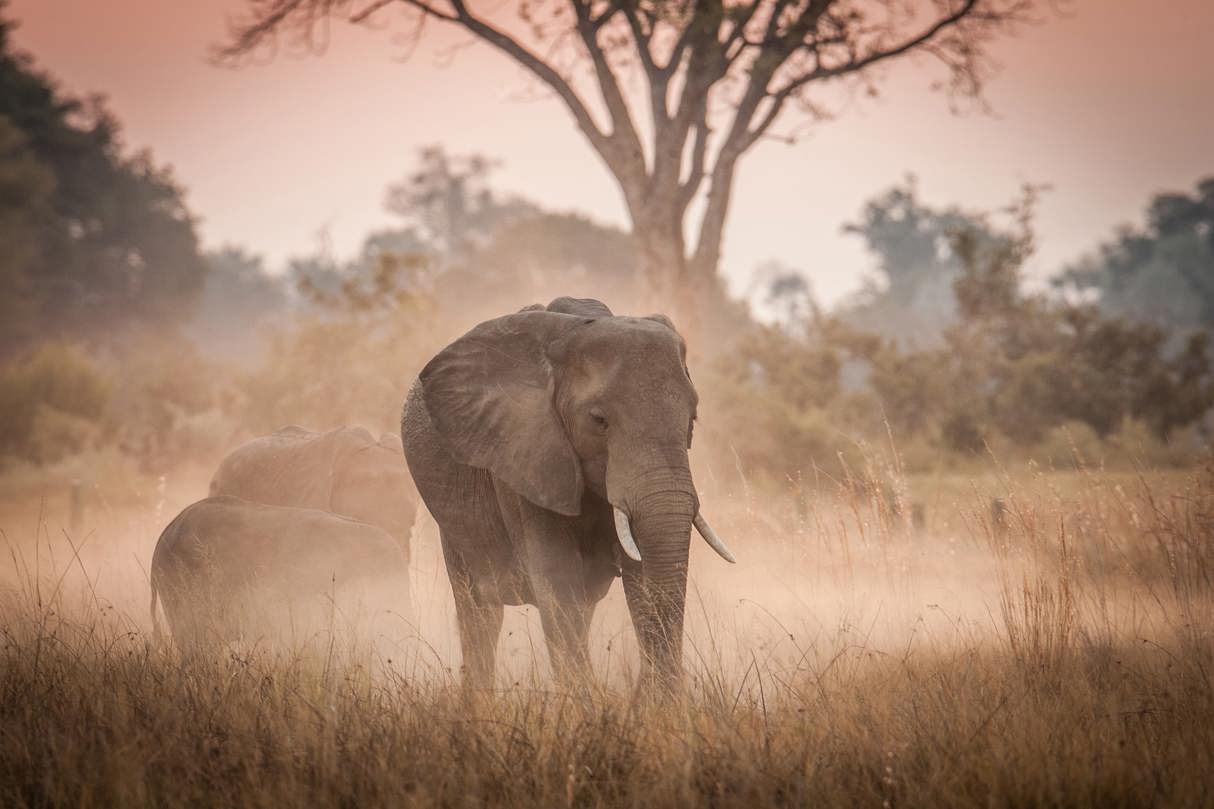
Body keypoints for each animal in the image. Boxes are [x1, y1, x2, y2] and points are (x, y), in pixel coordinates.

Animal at [402, 296, 734, 690]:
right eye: (599, 421)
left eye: (692, 420)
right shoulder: (524, 455)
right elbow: (558, 584)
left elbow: (641, 579)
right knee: (480, 613)